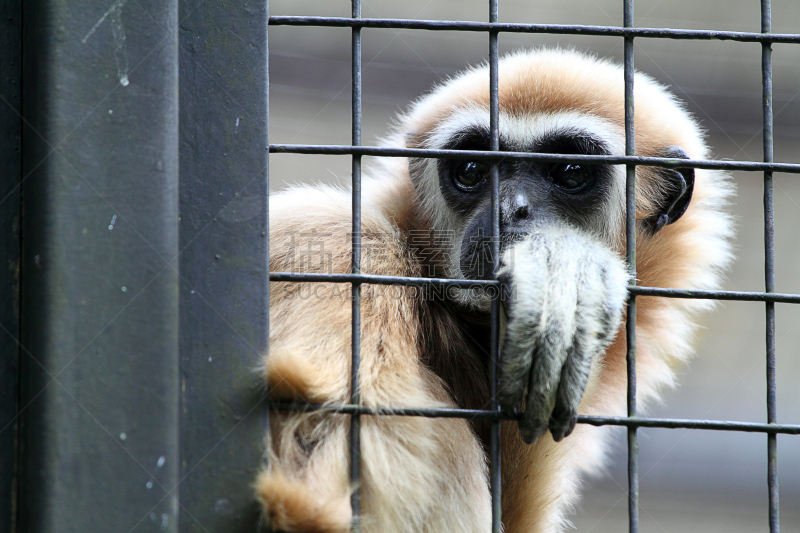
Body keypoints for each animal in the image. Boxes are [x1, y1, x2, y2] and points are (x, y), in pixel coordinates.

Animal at [255, 47, 732, 528]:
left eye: (571, 172)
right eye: (471, 170)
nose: (509, 208)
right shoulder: (337, 243)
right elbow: (309, 506)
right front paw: (563, 266)